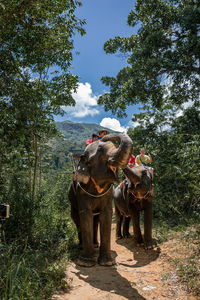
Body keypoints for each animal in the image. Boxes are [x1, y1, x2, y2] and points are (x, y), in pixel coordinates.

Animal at [68, 134, 133, 268]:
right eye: (100, 151)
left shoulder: (109, 193)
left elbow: (106, 214)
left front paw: (107, 262)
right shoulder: (81, 191)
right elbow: (85, 214)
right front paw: (86, 263)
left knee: (96, 220)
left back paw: (95, 245)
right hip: (72, 201)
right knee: (77, 220)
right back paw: (82, 246)